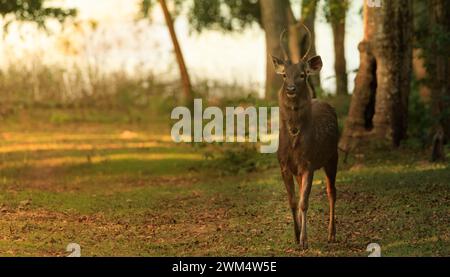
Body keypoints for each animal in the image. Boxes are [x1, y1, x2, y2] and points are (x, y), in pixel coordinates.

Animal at [270, 25, 338, 248]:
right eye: (284, 75)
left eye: (302, 75)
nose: (291, 89)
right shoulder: (284, 165)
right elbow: (293, 201)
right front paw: (296, 235)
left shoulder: (308, 163)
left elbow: (304, 202)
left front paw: (305, 240)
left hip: (332, 156)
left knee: (332, 192)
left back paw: (331, 234)